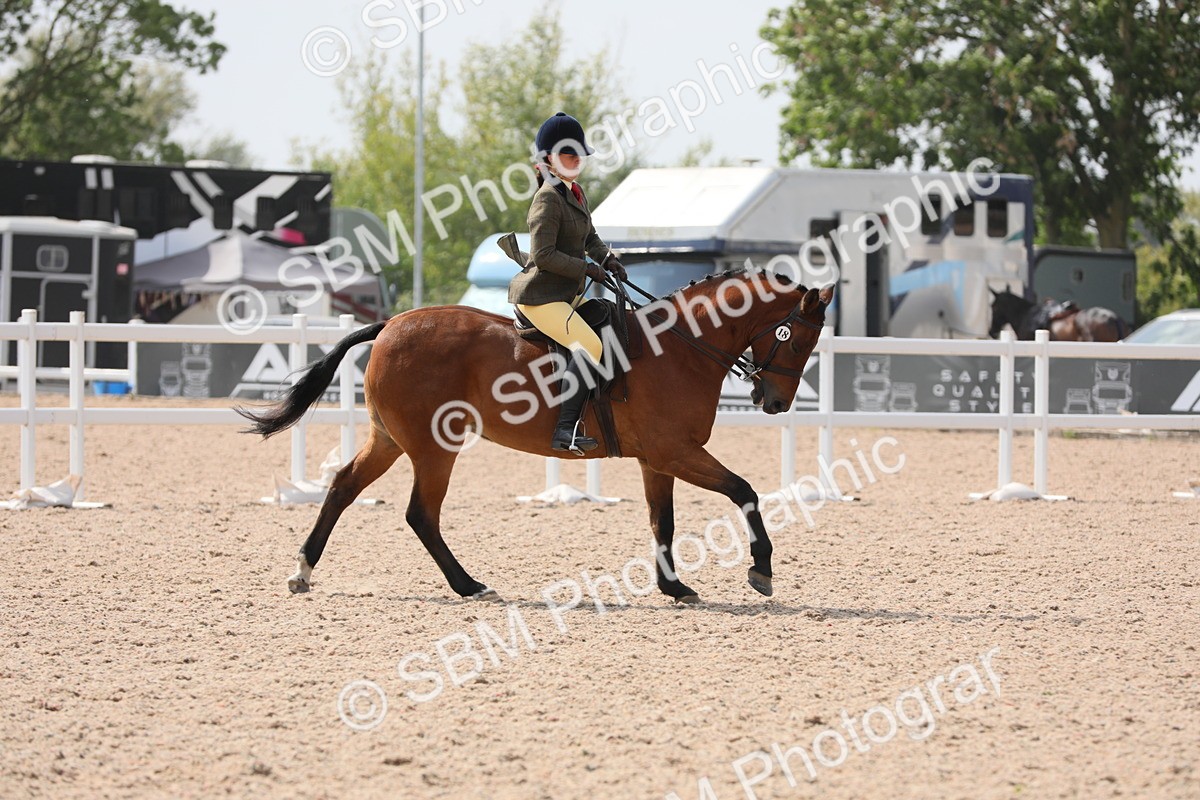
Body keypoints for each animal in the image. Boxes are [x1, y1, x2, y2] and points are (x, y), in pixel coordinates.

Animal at [237, 270, 835, 604]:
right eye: (796, 338)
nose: (775, 403)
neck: (681, 347)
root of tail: (389, 325)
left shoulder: (659, 460)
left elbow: (662, 522)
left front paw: (674, 588)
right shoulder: (678, 452)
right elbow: (746, 492)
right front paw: (761, 569)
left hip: (389, 440)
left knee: (343, 487)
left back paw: (303, 571)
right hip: (434, 446)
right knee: (420, 514)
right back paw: (470, 585)